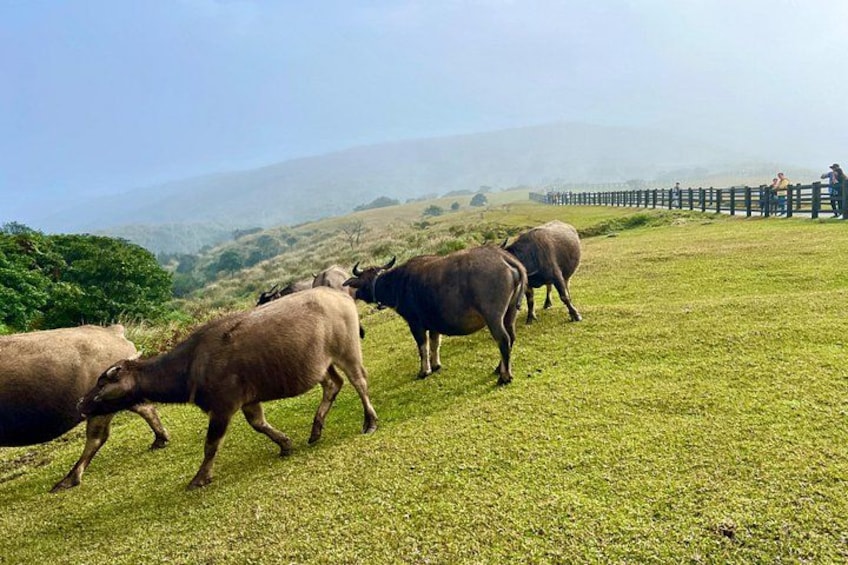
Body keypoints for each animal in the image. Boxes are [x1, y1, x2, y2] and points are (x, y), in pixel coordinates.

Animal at [0, 325, 169, 492]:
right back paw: (160, 439)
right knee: (146, 408)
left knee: (96, 438)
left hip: (101, 407)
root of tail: (112, 331)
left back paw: (69, 479)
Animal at [80, 287, 378, 490]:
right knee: (333, 385)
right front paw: (285, 444)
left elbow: (211, 444)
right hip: (321, 363)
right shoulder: (248, 400)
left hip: (347, 351)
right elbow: (259, 424)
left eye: (103, 382)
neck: (192, 363)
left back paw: (370, 421)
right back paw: (316, 429)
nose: (81, 403)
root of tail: (338, 294)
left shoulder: (223, 407)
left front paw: (200, 477)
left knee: (359, 382)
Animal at [343, 246, 527, 385]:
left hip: (493, 317)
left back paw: (505, 376)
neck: (398, 283)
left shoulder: (415, 324)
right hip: (509, 313)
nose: (356, 293)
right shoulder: (434, 324)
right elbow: (434, 344)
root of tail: (504, 257)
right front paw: (436, 364)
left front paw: (424, 370)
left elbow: (422, 347)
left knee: (503, 339)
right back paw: (499, 368)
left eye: (363, 282)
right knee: (511, 336)